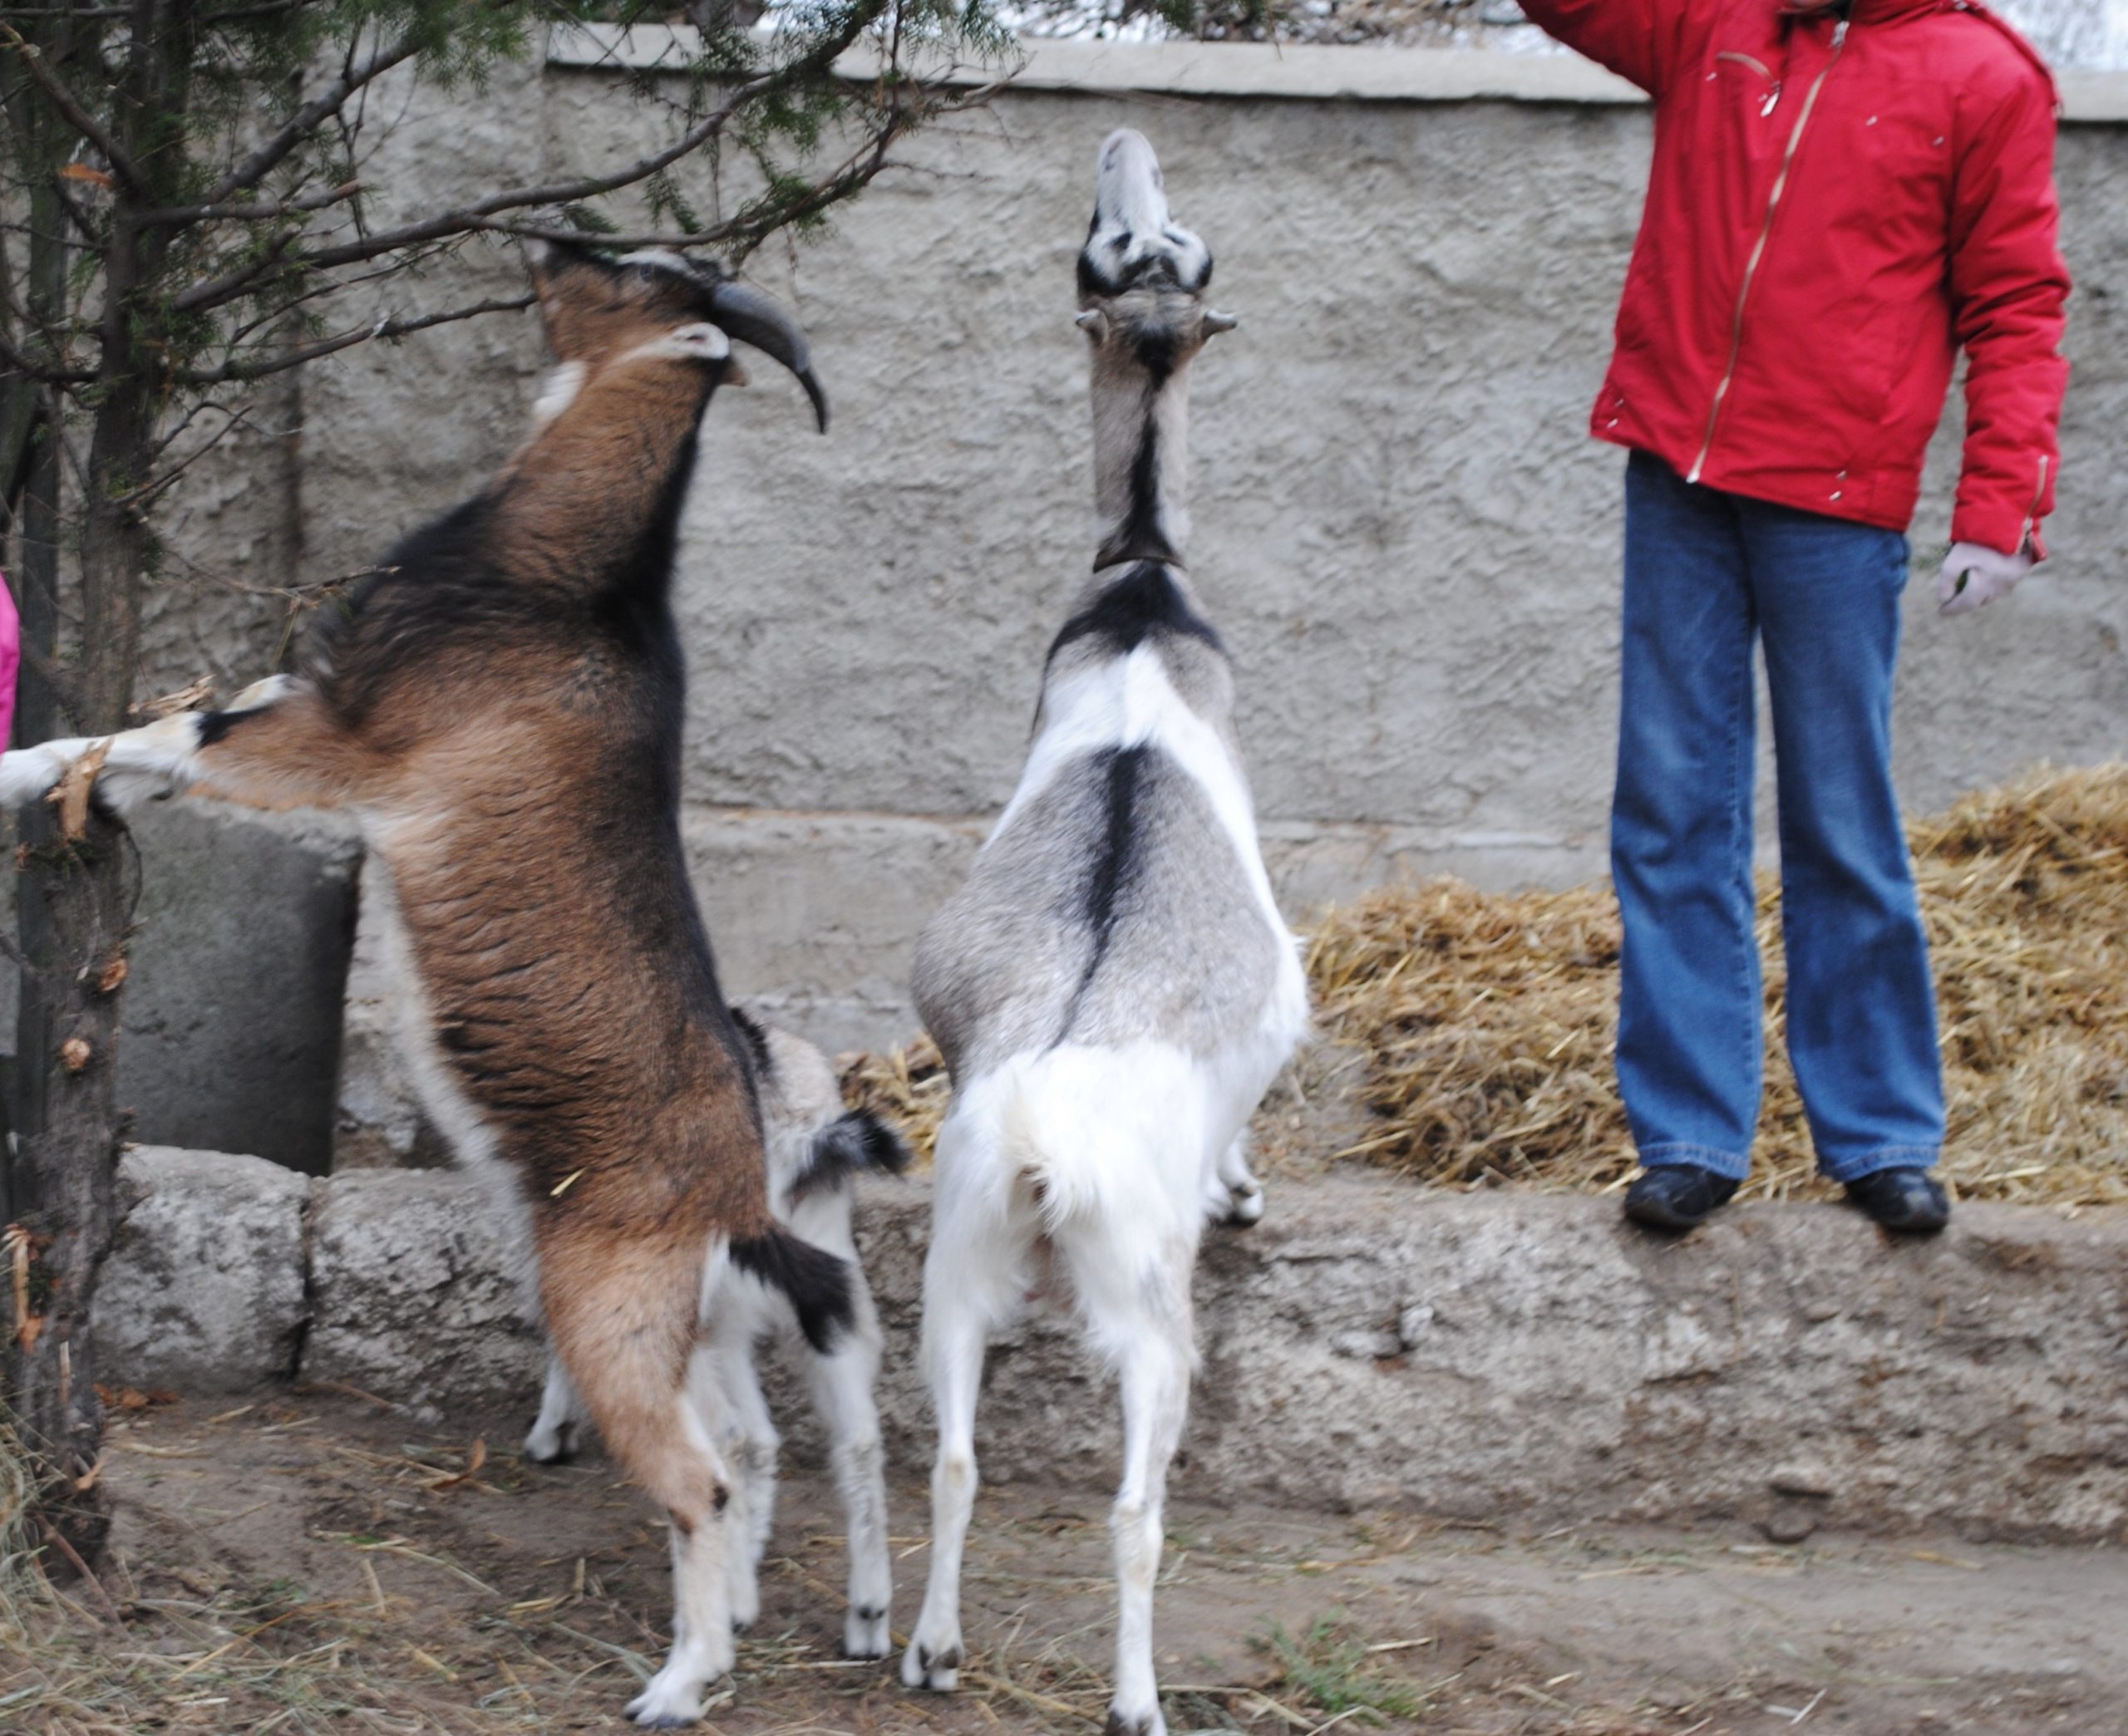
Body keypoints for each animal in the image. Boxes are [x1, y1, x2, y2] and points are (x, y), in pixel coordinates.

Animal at [0, 240, 846, 1719]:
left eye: (634, 269)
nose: (552, 249)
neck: (572, 587)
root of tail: (737, 1182)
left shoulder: (354, 742)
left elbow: (178, 738)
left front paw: (15, 768)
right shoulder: (318, 703)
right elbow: (172, 733)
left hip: (611, 1308)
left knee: (700, 1476)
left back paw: (676, 1685)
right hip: (692, 1327)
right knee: (746, 1454)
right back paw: (730, 1628)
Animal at [902, 132, 1310, 1736]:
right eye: (1131, 238)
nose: (1121, 148)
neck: (1142, 598)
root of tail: (1042, 1138)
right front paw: (1246, 1191)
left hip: (955, 1259)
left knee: (952, 1452)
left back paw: (930, 1646)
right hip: (1145, 1309)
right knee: (1135, 1507)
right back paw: (1136, 1698)